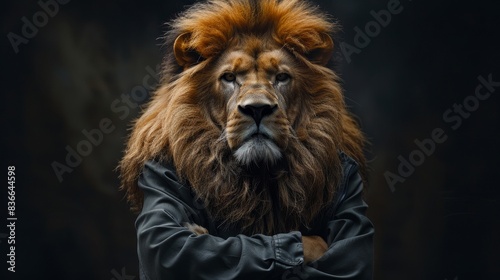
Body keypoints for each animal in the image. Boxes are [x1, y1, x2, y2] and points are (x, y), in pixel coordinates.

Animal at [119, 0, 366, 264]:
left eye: (282, 77)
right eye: (229, 77)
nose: (257, 109)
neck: (259, 174)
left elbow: (318, 243)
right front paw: (195, 230)